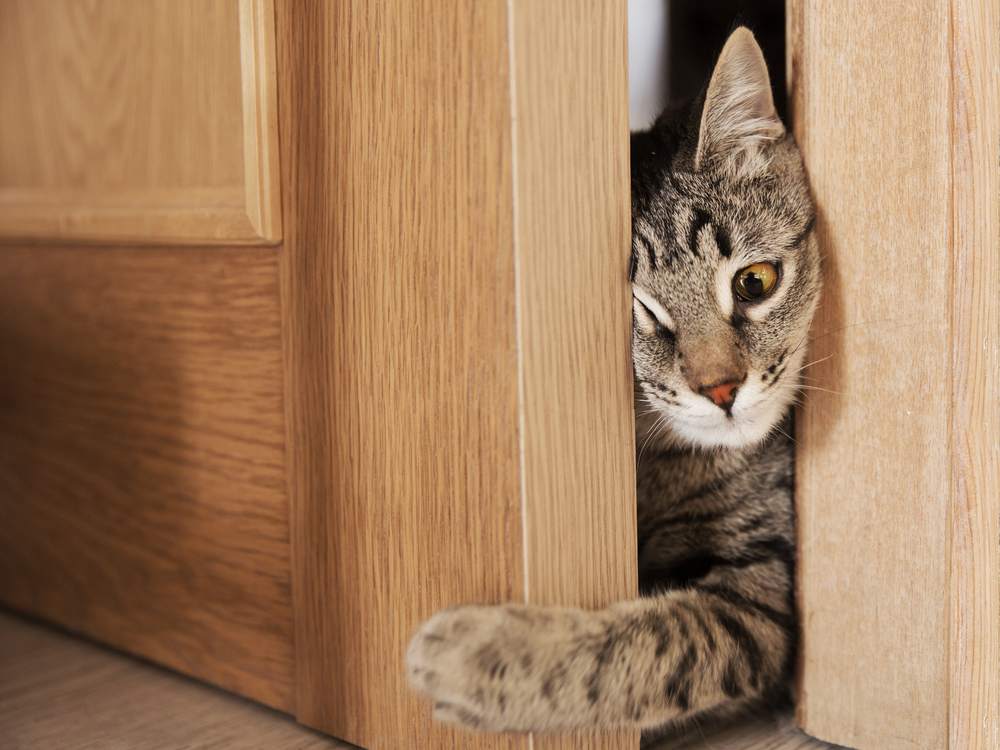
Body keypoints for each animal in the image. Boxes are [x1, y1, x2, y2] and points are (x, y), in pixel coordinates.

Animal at [406, 26, 820, 736]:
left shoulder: (762, 600)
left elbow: (645, 645)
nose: (721, 389)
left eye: (754, 281)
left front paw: (485, 653)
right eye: (638, 314)